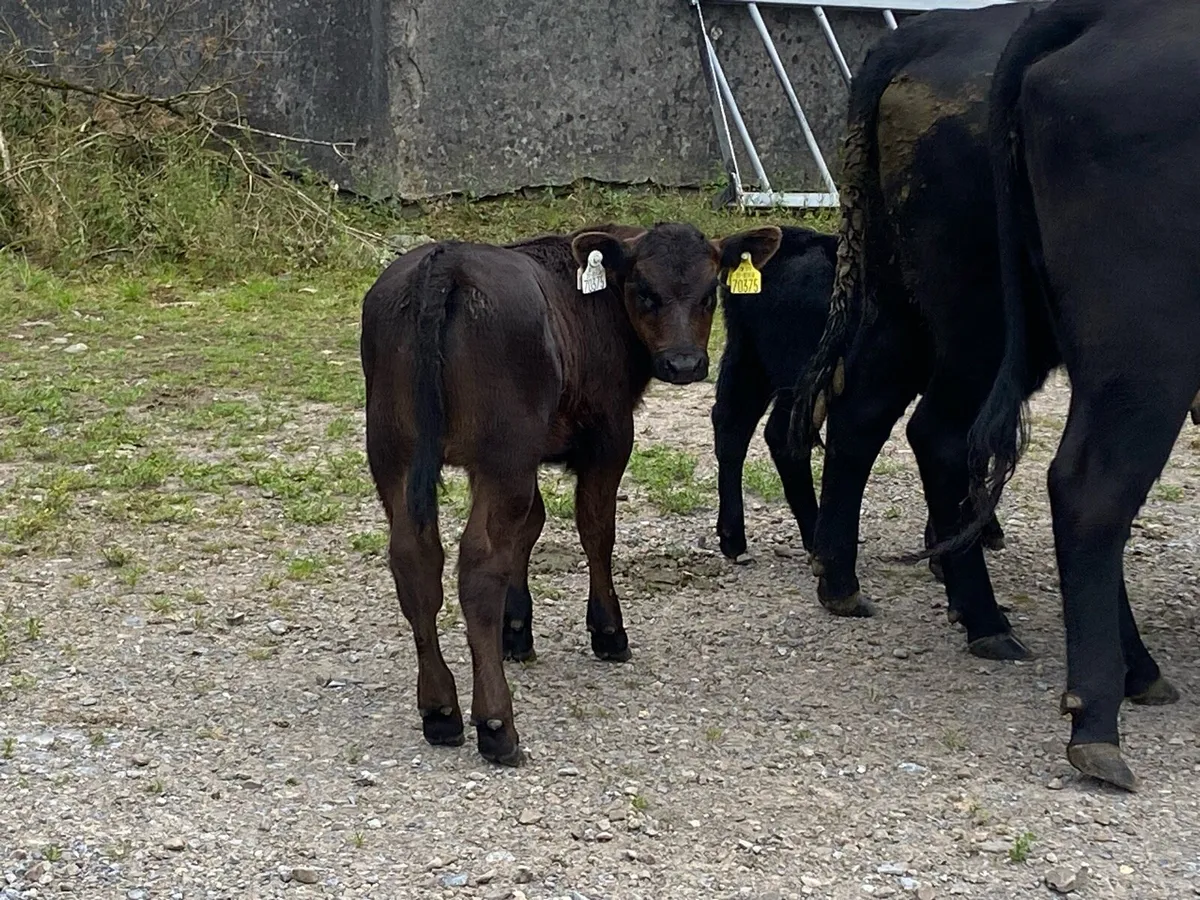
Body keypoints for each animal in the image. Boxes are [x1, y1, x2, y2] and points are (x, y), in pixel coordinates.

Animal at [360, 221, 783, 765]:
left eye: (711, 293)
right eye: (643, 291)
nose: (684, 363)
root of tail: (444, 261)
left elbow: (530, 528)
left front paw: (516, 630)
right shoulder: (608, 434)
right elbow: (596, 530)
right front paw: (608, 631)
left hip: (394, 450)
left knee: (415, 558)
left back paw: (440, 710)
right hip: (502, 452)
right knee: (478, 564)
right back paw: (495, 724)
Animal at [789, 2, 1047, 661]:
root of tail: (924, 35)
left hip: (903, 310)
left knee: (861, 413)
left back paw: (842, 581)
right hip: (981, 324)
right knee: (939, 432)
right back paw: (984, 617)